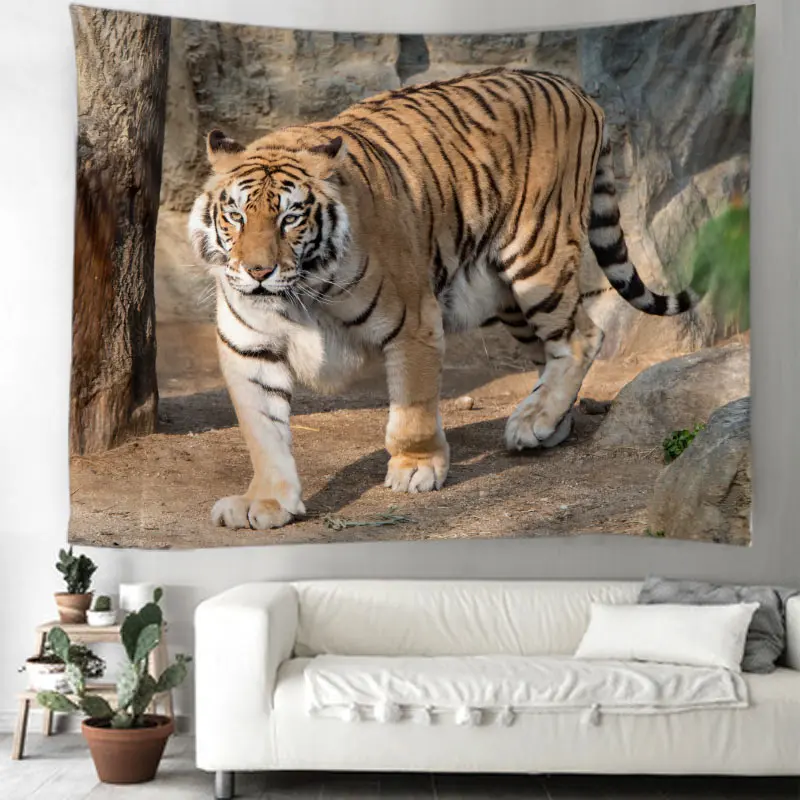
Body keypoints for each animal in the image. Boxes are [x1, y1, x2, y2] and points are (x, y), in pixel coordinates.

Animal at [188, 66, 698, 531]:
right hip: (507, 295)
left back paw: (532, 421)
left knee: (582, 337)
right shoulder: (248, 345)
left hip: (537, 259)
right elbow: (263, 430)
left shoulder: (412, 320)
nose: (257, 272)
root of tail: (572, 86)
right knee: (550, 351)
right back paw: (544, 424)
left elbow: (411, 410)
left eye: (290, 218)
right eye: (235, 216)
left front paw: (416, 469)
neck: (299, 294)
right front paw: (268, 501)